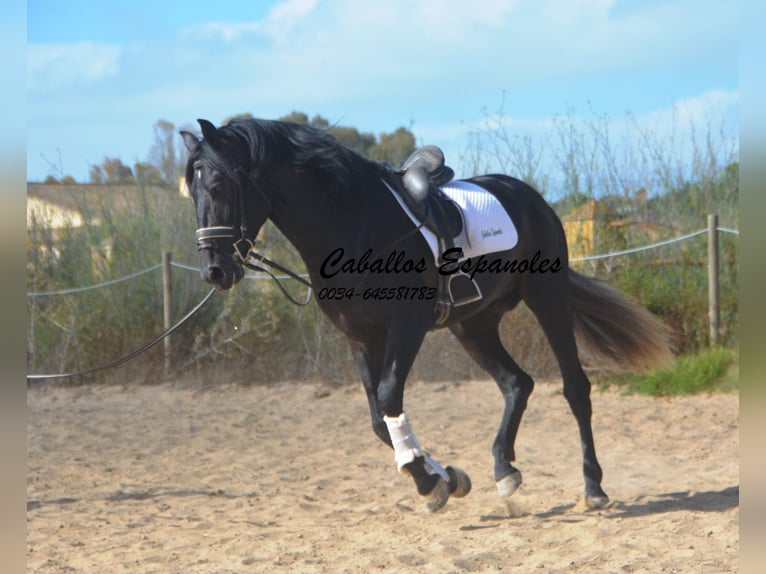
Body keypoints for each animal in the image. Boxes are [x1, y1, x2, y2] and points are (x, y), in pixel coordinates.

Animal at [180, 117, 672, 512]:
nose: (214, 271)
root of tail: (529, 196)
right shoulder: (360, 338)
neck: (352, 225)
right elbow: (379, 419)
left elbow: (389, 399)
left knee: (575, 388)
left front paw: (431, 480)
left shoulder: (407, 326)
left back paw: (593, 487)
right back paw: (504, 470)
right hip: (472, 325)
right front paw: (440, 477)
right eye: (193, 192)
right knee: (517, 384)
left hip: (546, 299)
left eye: (219, 187)